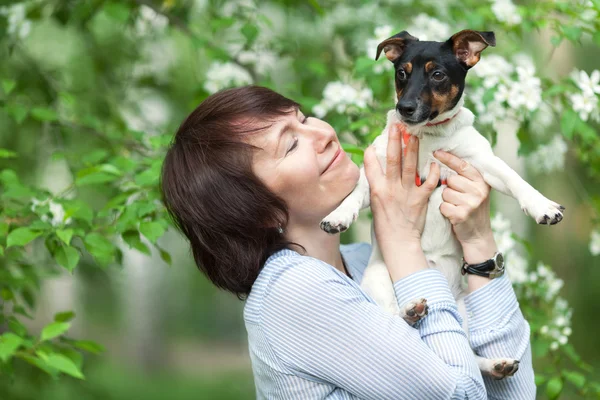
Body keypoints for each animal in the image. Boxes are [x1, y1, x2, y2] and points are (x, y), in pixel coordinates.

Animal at [322, 29, 564, 380]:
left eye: (437, 75)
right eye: (401, 73)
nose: (404, 108)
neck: (428, 137)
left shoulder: (482, 163)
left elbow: (515, 178)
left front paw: (541, 205)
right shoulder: (377, 173)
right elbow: (354, 191)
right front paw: (338, 214)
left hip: (463, 309)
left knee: (467, 352)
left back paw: (495, 365)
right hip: (380, 279)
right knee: (396, 321)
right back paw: (410, 311)